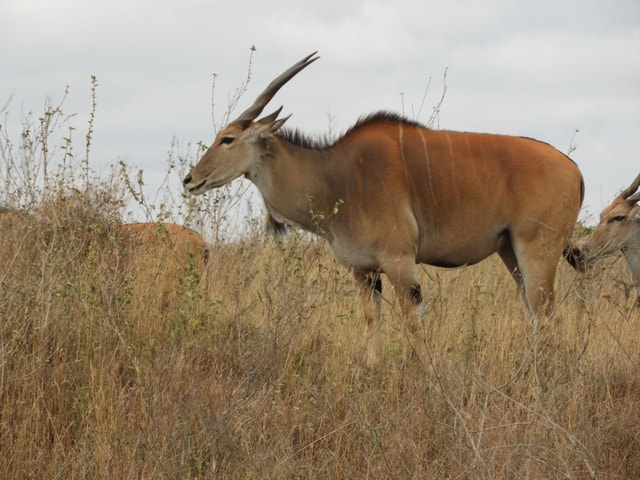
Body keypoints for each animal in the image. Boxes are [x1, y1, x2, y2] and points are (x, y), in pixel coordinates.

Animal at [184, 52, 584, 366]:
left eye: (227, 139)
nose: (190, 179)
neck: (337, 176)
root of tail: (574, 169)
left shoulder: (400, 262)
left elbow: (413, 324)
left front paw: (430, 378)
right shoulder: (363, 271)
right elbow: (371, 320)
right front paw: (371, 370)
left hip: (536, 249)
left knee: (547, 315)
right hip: (510, 251)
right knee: (540, 315)